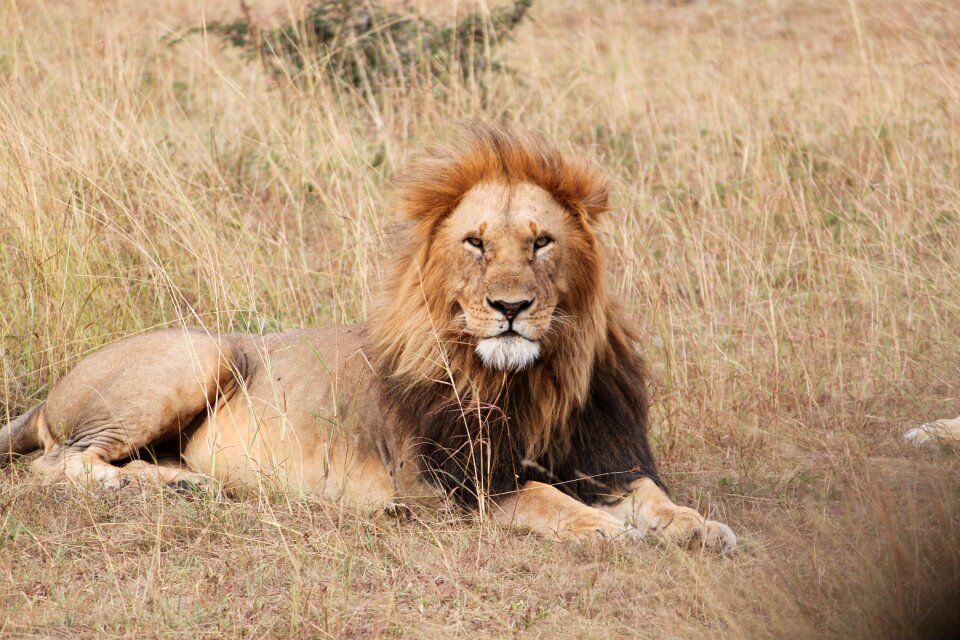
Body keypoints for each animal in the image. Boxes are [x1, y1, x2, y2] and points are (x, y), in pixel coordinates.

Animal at [0, 124, 736, 556]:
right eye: (476, 243)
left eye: (541, 242)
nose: (510, 307)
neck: (531, 380)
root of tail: (49, 393)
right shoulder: (443, 487)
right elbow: (542, 498)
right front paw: (603, 529)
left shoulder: (601, 456)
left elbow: (653, 497)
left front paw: (699, 525)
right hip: (198, 354)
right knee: (59, 462)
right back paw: (151, 487)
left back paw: (188, 484)